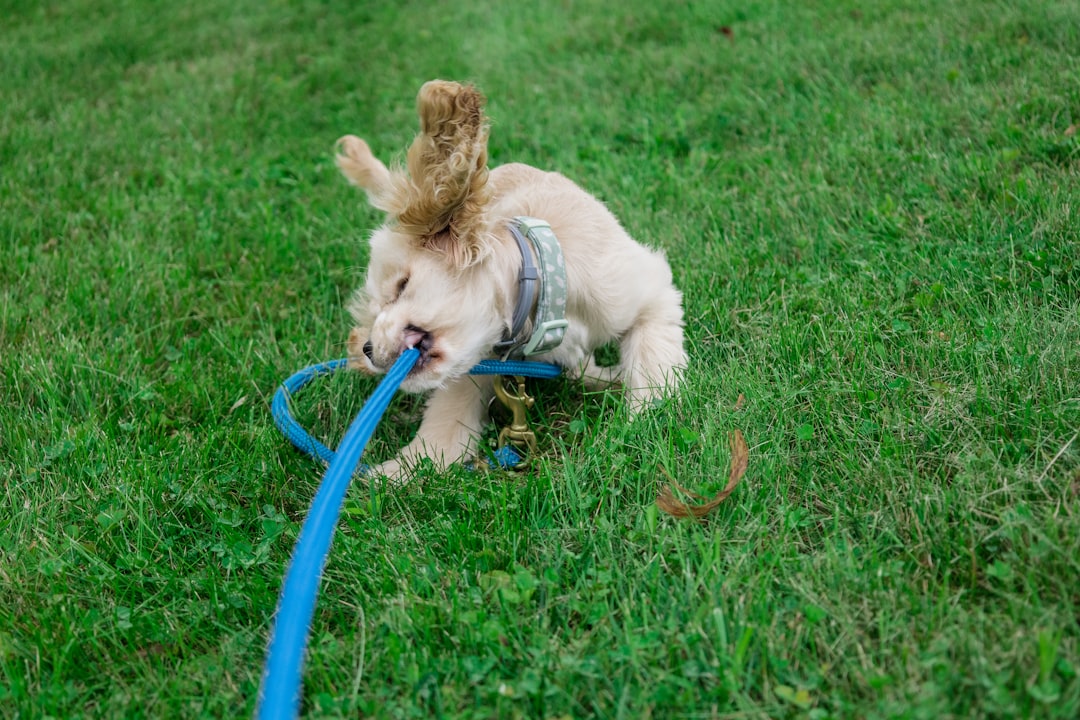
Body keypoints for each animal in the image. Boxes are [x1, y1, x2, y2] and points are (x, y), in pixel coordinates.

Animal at [334, 81, 682, 481]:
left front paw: (641, 427)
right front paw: (388, 474)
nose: (367, 350)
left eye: (401, 285)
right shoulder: (476, 367)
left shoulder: (649, 294)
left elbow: (651, 371)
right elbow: (442, 440)